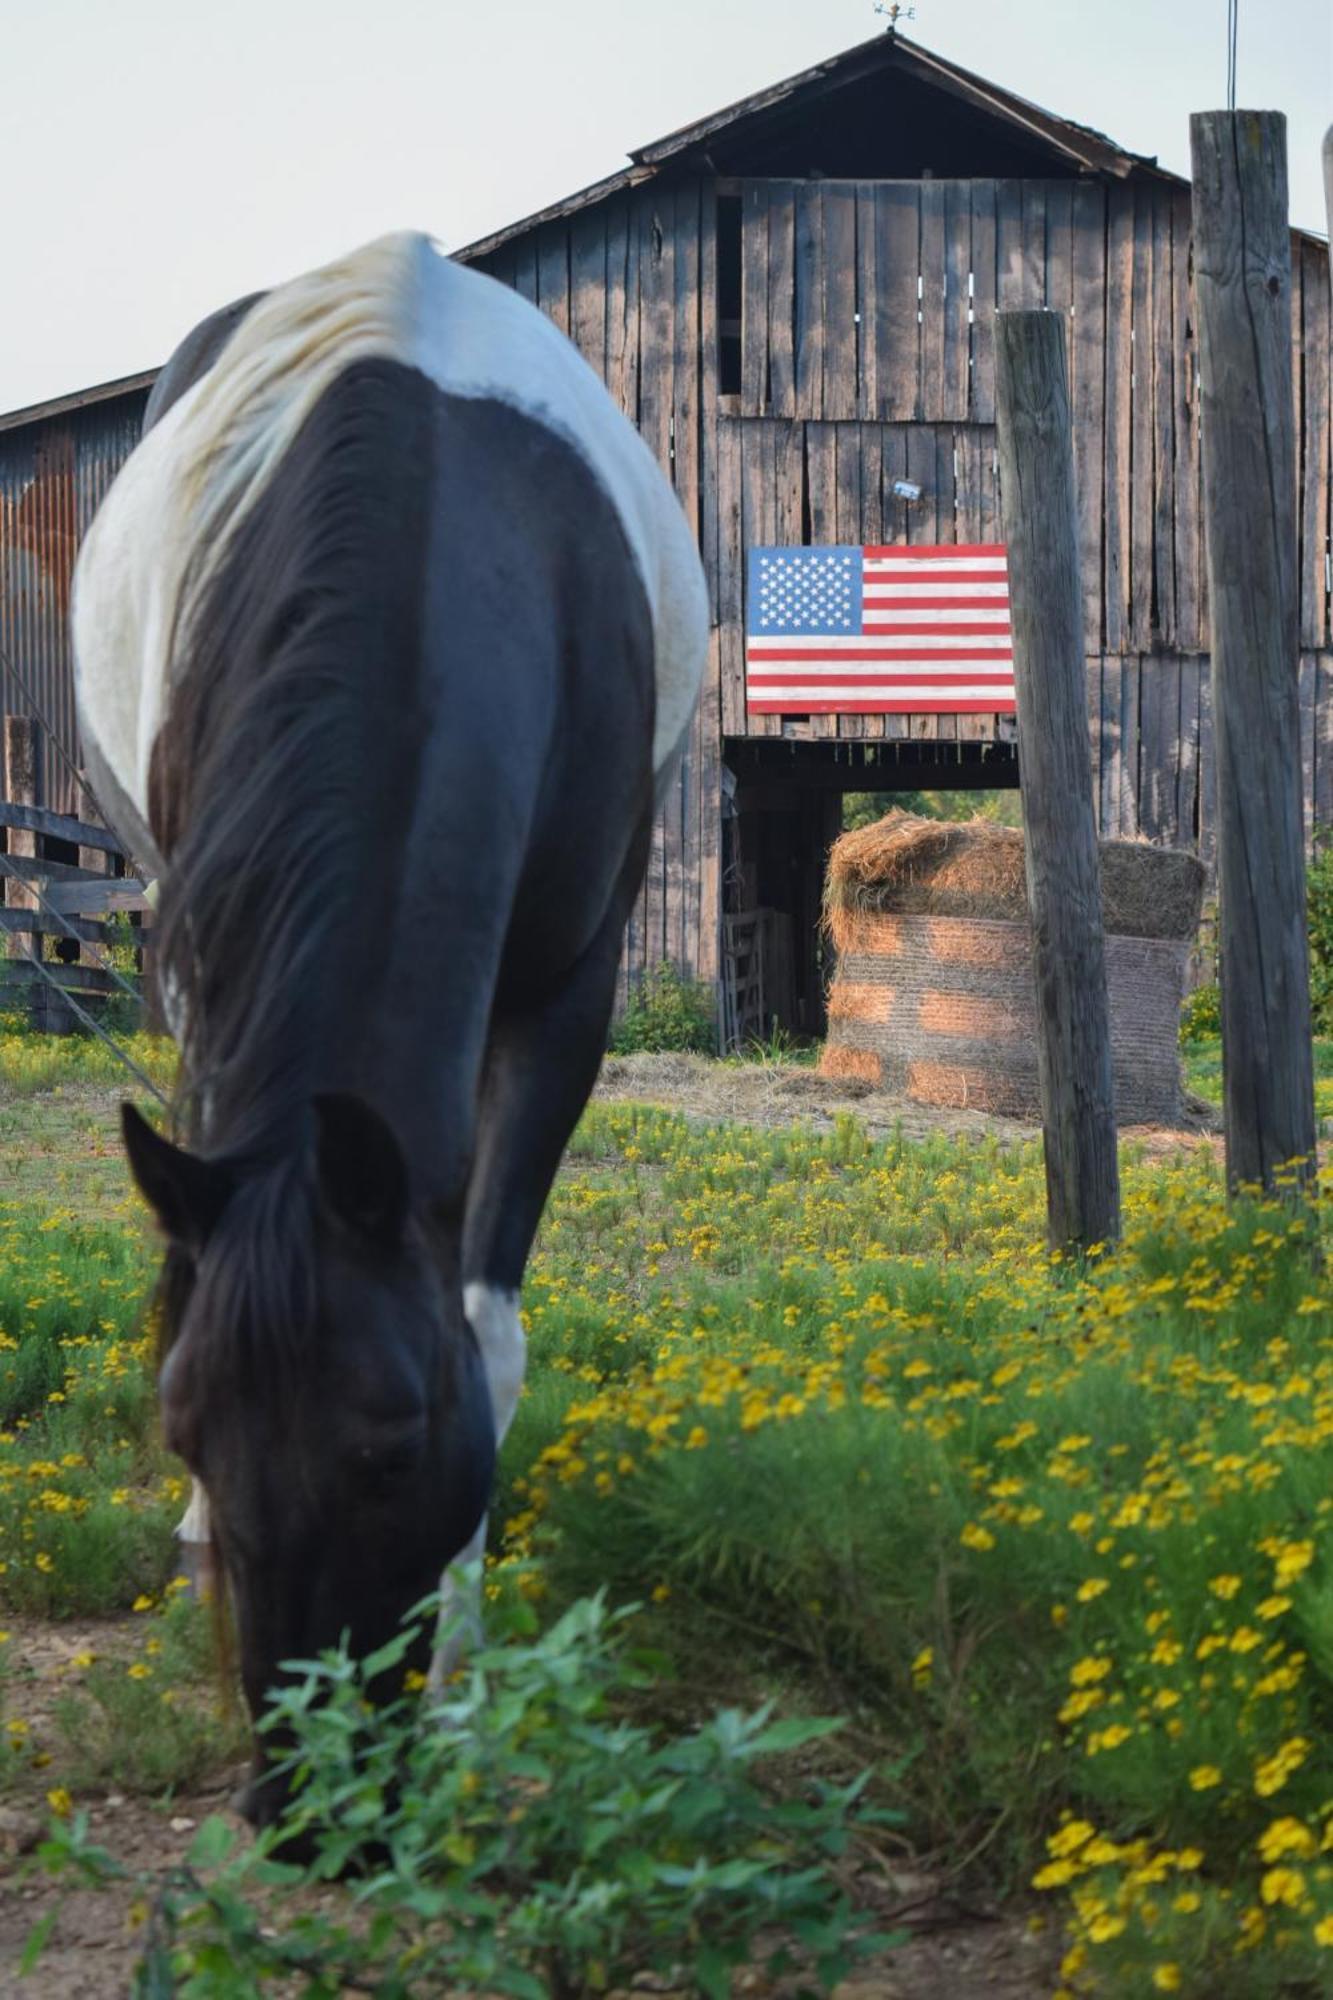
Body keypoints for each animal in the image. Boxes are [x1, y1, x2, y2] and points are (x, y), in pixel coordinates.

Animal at [70, 234, 704, 1832]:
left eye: (390, 1446)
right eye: (186, 1429)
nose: (306, 1810)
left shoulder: (570, 991)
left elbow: (486, 1325)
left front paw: (473, 1698)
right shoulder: (200, 952)